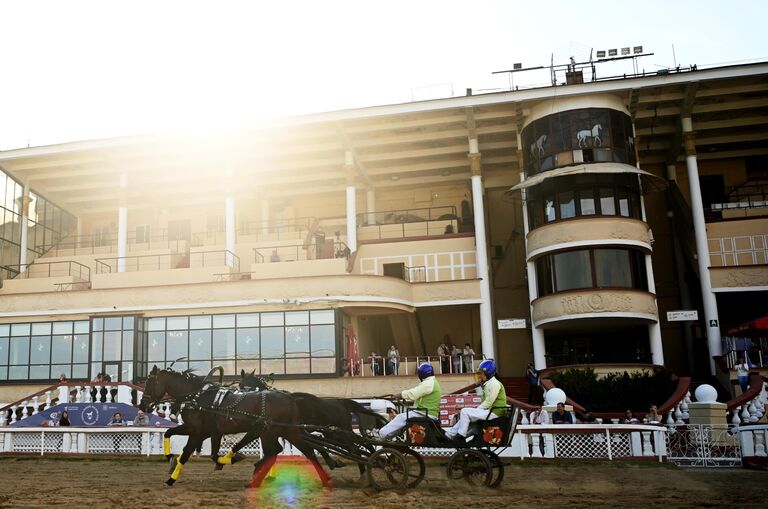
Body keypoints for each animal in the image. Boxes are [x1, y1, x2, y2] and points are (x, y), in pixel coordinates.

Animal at [140, 364, 332, 486]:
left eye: (149, 383)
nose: (142, 405)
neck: (198, 397)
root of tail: (290, 397)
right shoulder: (200, 431)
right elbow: (170, 435)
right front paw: (170, 462)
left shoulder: (201, 432)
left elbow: (199, 454)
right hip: (287, 431)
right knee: (306, 452)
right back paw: (324, 478)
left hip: (270, 431)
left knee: (279, 452)